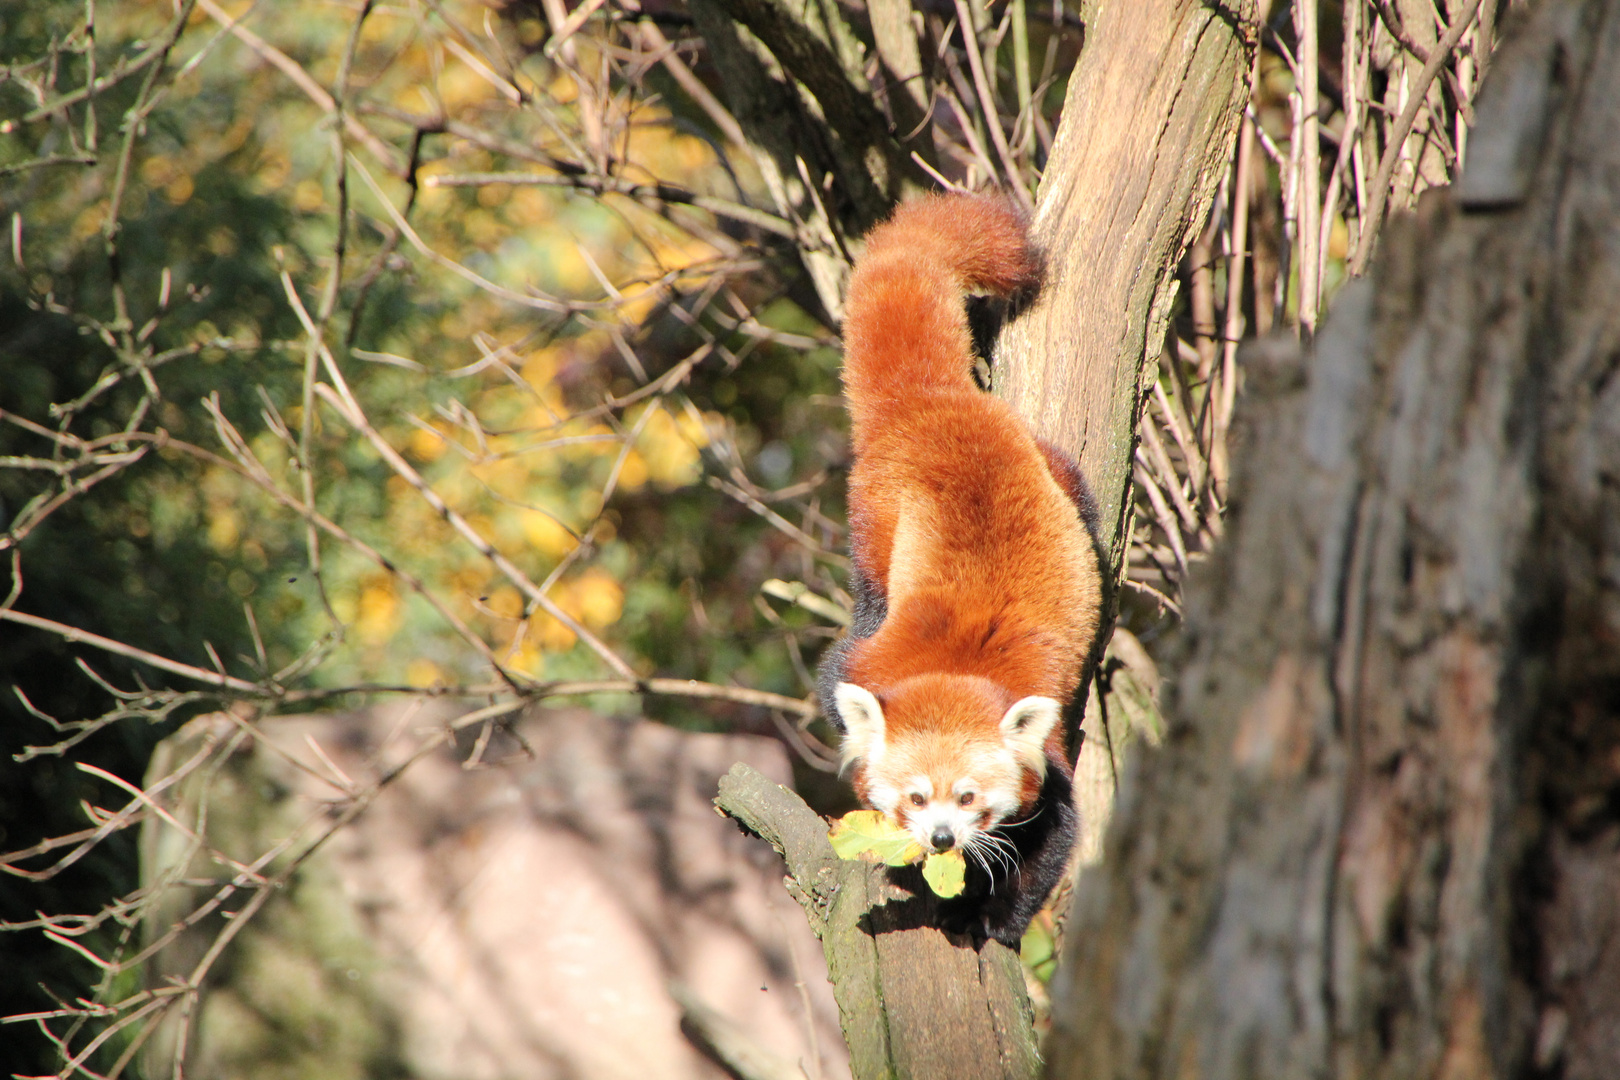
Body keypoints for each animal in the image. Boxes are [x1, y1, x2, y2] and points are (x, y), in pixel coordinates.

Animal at [816, 194, 1108, 945]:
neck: (954, 665)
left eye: (969, 798)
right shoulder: (868, 665)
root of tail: (933, 401)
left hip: (1046, 466)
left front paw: (991, 917)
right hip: (876, 529)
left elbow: (1052, 838)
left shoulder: (1046, 761)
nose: (943, 838)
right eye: (916, 797)